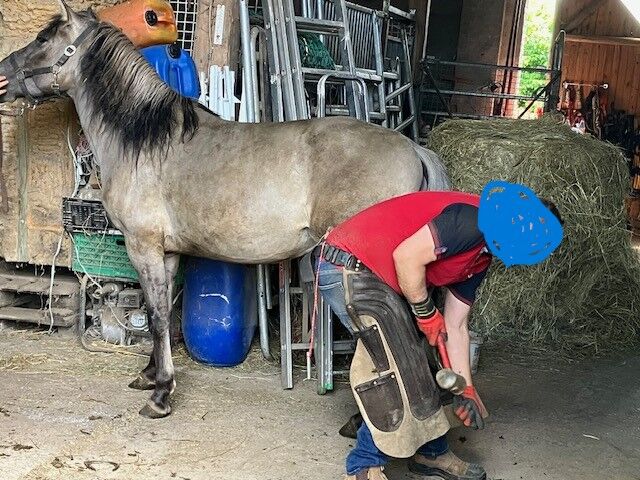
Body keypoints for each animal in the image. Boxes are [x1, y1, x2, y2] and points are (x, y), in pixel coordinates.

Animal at [0, 1, 450, 418]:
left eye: (43, 38)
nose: (3, 73)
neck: (143, 139)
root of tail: (413, 148)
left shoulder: (143, 246)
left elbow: (157, 317)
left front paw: (161, 395)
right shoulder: (167, 253)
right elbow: (161, 310)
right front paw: (149, 376)